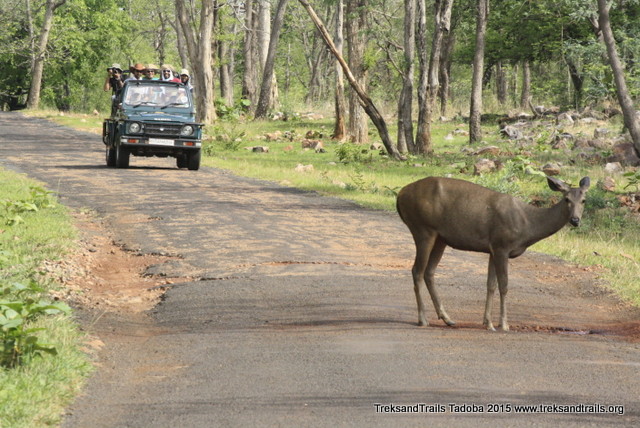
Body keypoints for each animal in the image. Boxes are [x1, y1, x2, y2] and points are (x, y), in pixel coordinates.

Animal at [398, 176, 592, 330]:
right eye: (566, 199)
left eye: (584, 200)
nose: (575, 220)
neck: (527, 226)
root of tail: (399, 195)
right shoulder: (502, 245)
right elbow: (504, 285)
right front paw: (504, 324)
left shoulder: (492, 248)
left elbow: (490, 285)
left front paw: (488, 322)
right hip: (423, 229)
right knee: (417, 271)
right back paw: (423, 319)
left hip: (440, 238)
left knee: (429, 272)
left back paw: (447, 318)